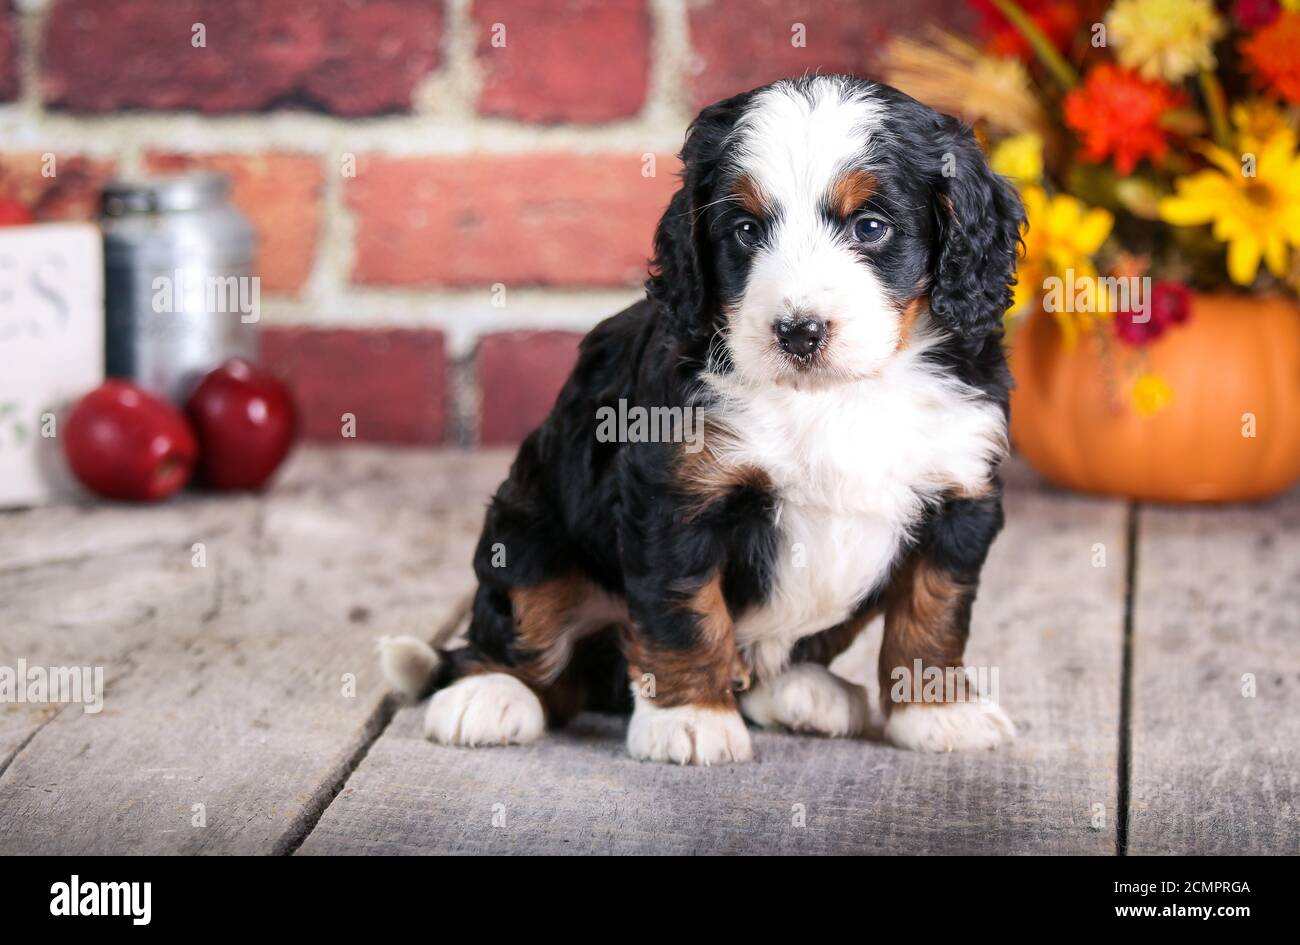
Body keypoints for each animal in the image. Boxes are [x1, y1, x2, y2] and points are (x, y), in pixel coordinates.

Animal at [377, 75, 1024, 769]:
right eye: (744, 229)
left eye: (871, 227)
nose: (799, 332)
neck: (832, 396)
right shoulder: (674, 493)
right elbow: (684, 610)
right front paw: (689, 717)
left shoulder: (959, 489)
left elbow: (934, 610)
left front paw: (937, 711)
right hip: (529, 531)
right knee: (524, 625)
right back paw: (488, 695)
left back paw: (804, 692)